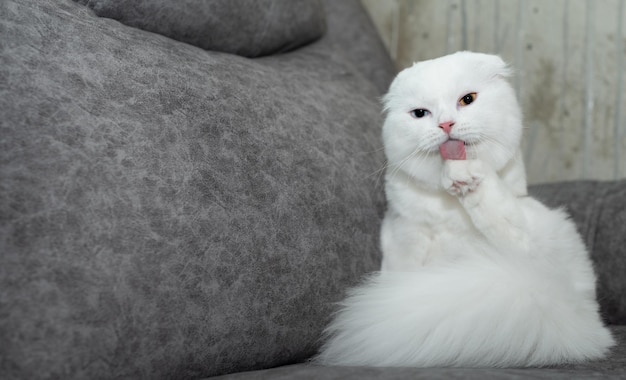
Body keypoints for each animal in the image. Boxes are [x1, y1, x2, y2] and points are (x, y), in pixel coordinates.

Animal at [320, 52, 612, 366]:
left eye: (467, 99)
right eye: (420, 114)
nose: (446, 124)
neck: (448, 209)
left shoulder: (521, 240)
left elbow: (493, 204)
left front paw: (463, 175)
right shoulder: (403, 236)